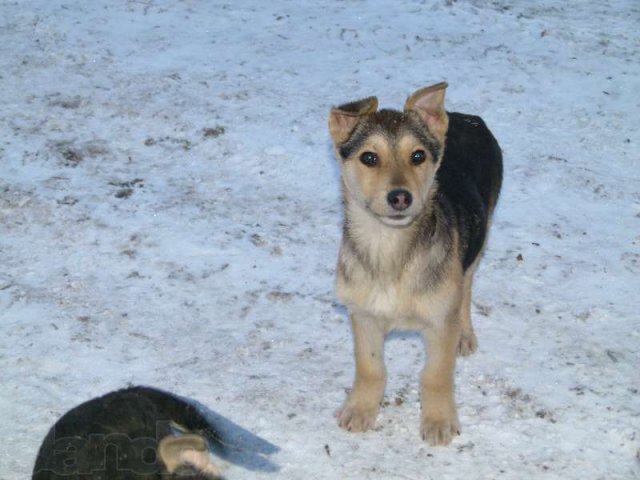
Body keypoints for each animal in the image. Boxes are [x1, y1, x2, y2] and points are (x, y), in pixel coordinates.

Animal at [330, 82, 504, 446]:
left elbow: (435, 375)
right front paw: (360, 409)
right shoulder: (363, 316)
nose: (400, 197)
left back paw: (465, 334)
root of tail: (468, 117)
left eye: (418, 156)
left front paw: (439, 421)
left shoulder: (439, 323)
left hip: (479, 238)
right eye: (369, 157)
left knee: (466, 288)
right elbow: (370, 368)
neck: (390, 252)